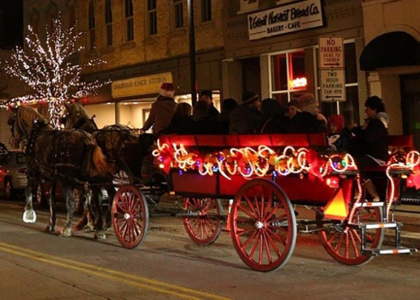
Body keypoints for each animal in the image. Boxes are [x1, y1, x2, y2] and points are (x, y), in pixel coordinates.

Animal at [9, 105, 115, 239]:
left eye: (12, 121)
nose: (14, 139)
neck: (36, 135)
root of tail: (87, 138)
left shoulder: (34, 173)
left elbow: (28, 192)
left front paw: (28, 215)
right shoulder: (52, 178)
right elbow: (51, 200)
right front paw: (51, 224)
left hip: (68, 178)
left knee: (72, 202)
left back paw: (68, 228)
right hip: (92, 178)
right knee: (99, 198)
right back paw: (100, 229)